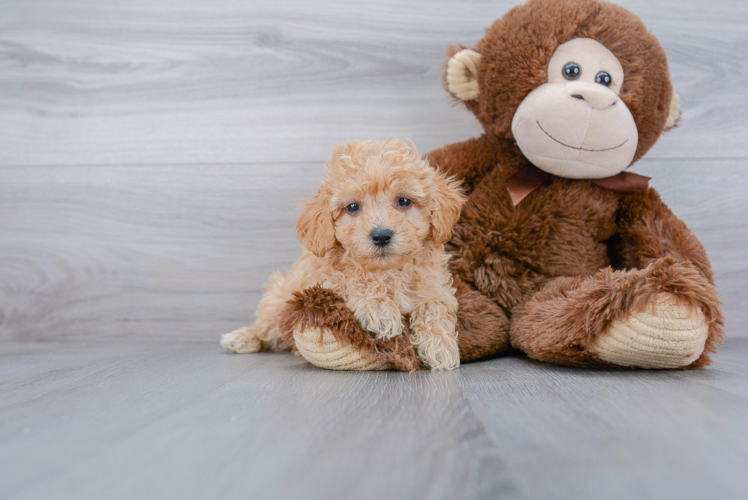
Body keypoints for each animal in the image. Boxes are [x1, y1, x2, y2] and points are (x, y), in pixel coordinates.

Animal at [222, 139, 464, 370]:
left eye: (404, 201)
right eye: (353, 207)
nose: (381, 235)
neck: (387, 272)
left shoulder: (436, 288)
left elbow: (435, 306)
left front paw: (440, 346)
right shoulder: (323, 280)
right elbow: (353, 280)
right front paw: (381, 310)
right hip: (278, 298)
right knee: (265, 327)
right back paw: (242, 338)